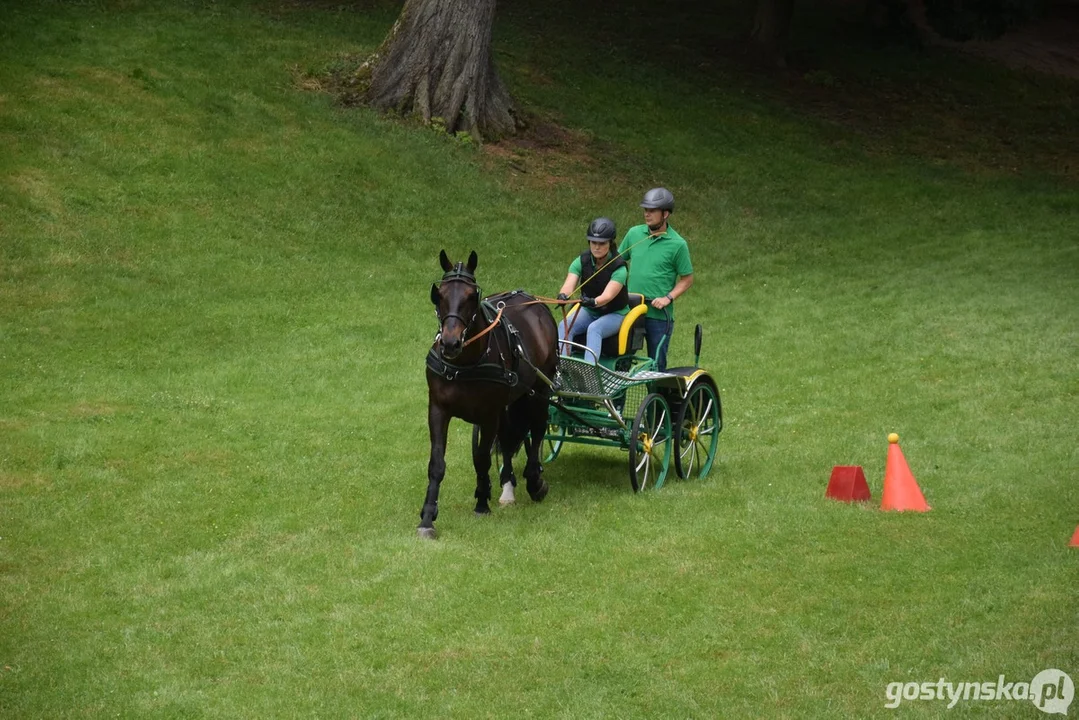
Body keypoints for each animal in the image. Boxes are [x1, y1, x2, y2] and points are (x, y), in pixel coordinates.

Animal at [418, 250, 556, 537]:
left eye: (472, 296)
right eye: (440, 293)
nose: (450, 343)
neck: (463, 365)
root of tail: (531, 300)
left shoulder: (488, 414)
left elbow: (481, 458)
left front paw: (482, 502)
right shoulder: (437, 409)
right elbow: (437, 464)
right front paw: (427, 518)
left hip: (540, 389)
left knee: (537, 429)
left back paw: (535, 481)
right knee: (509, 438)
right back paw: (508, 486)